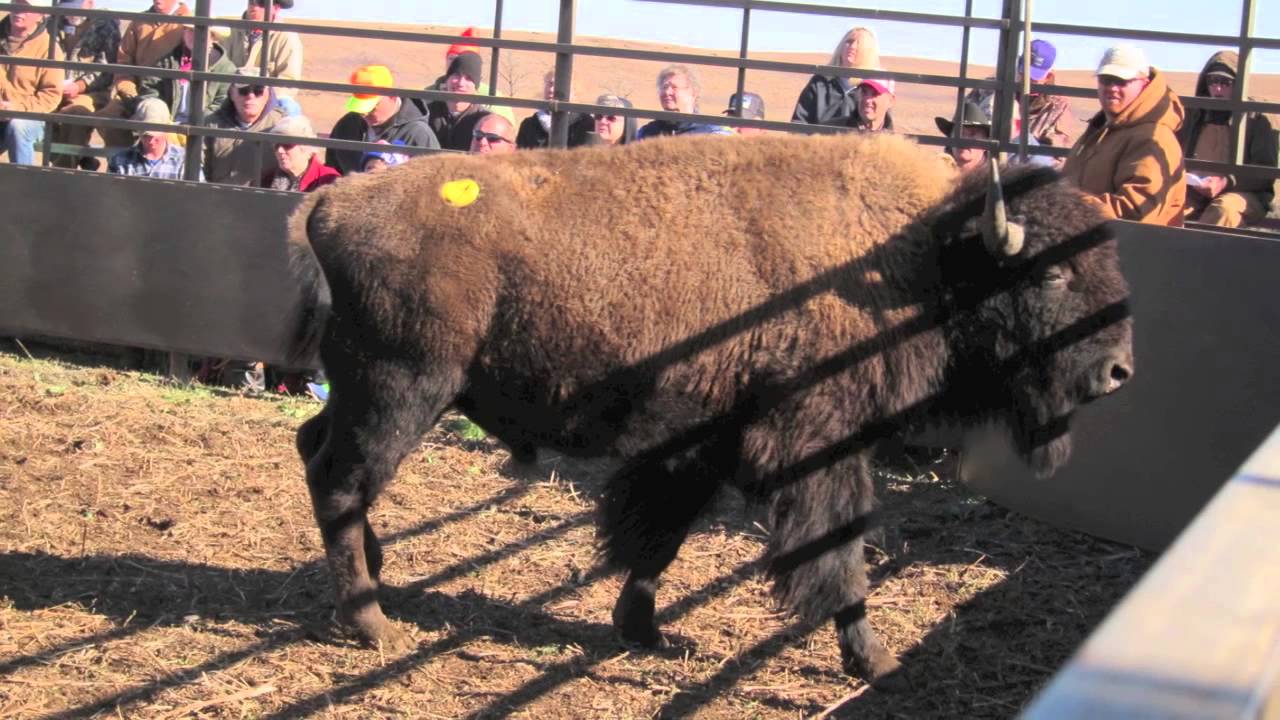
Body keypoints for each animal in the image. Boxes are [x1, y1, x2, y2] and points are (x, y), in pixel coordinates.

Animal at [286, 131, 1133, 687]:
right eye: (1049, 275)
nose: (1119, 370)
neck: (911, 254)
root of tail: (330, 201)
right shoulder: (818, 444)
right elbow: (839, 551)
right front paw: (874, 657)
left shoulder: (699, 443)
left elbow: (657, 538)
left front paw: (645, 633)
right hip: (403, 390)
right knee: (340, 479)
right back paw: (371, 623)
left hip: (369, 391)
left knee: (315, 450)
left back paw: (377, 578)